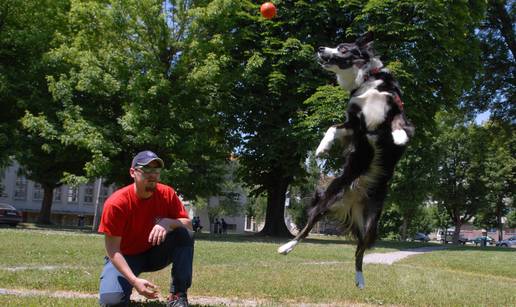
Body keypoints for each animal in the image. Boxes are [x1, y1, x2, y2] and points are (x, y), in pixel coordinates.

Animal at [278, 33, 416, 288]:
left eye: (343, 48)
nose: (320, 48)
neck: (365, 82)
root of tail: (352, 199)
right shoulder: (355, 125)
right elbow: (332, 128)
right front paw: (321, 148)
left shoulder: (395, 106)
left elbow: (399, 123)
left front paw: (399, 137)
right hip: (324, 202)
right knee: (306, 230)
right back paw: (286, 246)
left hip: (372, 222)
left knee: (359, 252)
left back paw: (360, 279)